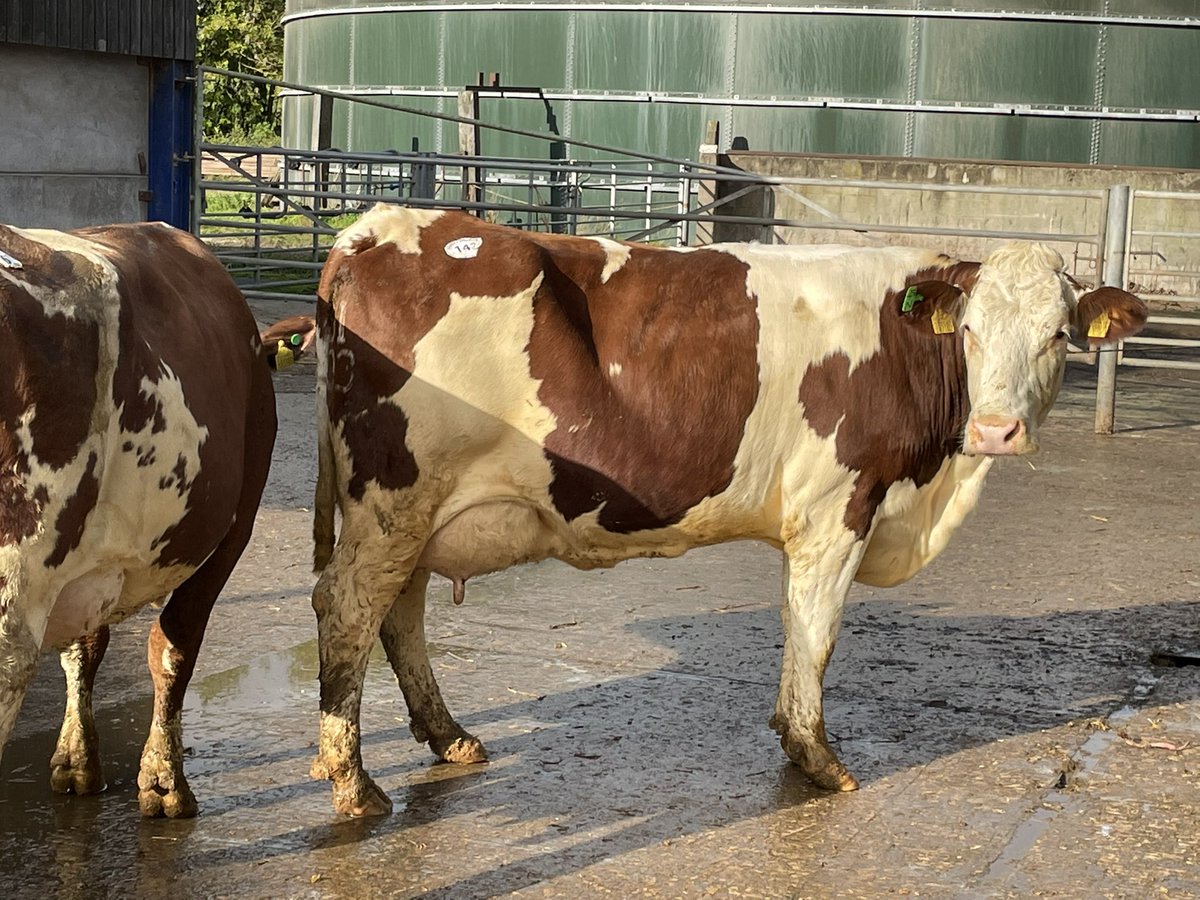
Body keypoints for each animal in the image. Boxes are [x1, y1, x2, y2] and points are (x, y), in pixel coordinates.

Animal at [308, 204, 1146, 816]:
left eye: (1058, 335)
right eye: (969, 331)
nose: (997, 429)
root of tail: (378, 228)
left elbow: (799, 627)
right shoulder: (837, 504)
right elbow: (814, 630)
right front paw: (816, 757)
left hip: (416, 511)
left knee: (399, 611)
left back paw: (447, 737)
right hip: (395, 496)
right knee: (349, 607)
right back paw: (354, 783)